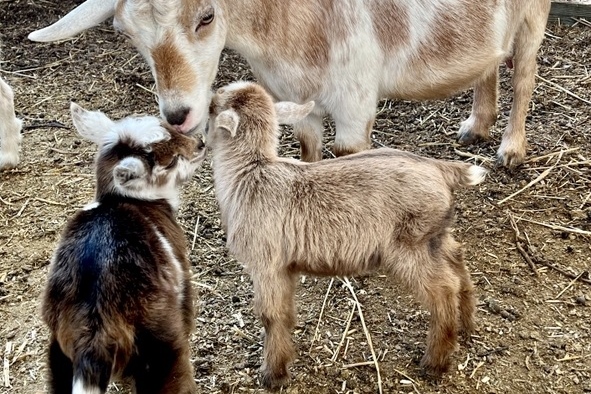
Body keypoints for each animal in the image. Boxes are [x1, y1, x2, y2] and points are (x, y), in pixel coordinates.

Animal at [206, 81, 488, 390]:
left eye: (212, 108)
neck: (252, 172)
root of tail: (441, 169)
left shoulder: (266, 264)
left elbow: (271, 316)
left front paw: (273, 375)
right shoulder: (285, 267)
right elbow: (288, 313)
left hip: (410, 245)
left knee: (444, 289)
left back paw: (435, 362)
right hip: (435, 235)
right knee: (457, 261)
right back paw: (467, 325)